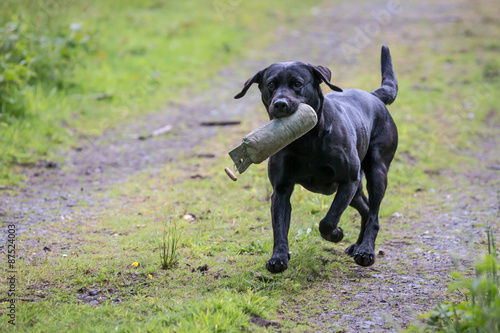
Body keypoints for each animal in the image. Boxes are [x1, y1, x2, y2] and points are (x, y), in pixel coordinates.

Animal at [234, 44, 398, 272]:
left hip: (376, 171)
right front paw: (279, 257)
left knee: (373, 213)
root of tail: (374, 95)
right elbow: (279, 227)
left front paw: (336, 234)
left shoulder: (348, 180)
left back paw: (365, 251)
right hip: (356, 190)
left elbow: (328, 221)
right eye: (271, 84)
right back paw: (357, 245)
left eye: (297, 83)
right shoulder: (281, 189)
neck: (306, 140)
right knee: (365, 208)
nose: (280, 104)